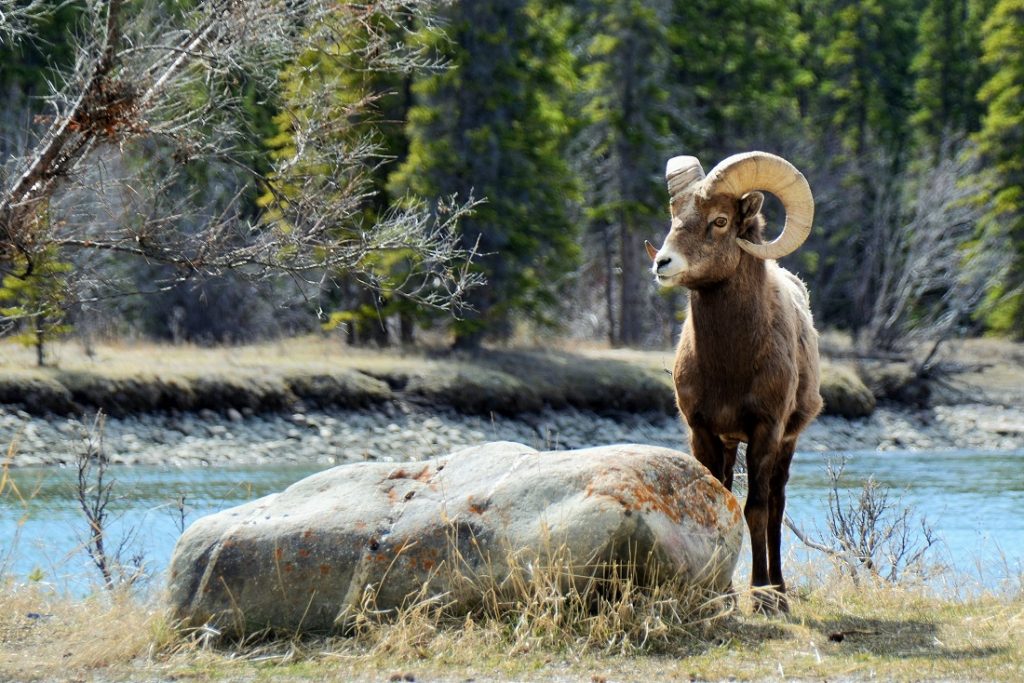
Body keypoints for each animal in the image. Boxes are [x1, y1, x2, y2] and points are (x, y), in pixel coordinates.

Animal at [647, 152, 823, 610]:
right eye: (675, 217)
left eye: (721, 221)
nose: (662, 264)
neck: (731, 366)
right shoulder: (704, 432)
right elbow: (719, 503)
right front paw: (721, 596)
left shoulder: (766, 431)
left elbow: (756, 510)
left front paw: (760, 596)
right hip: (730, 446)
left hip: (787, 445)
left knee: (776, 508)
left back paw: (778, 591)